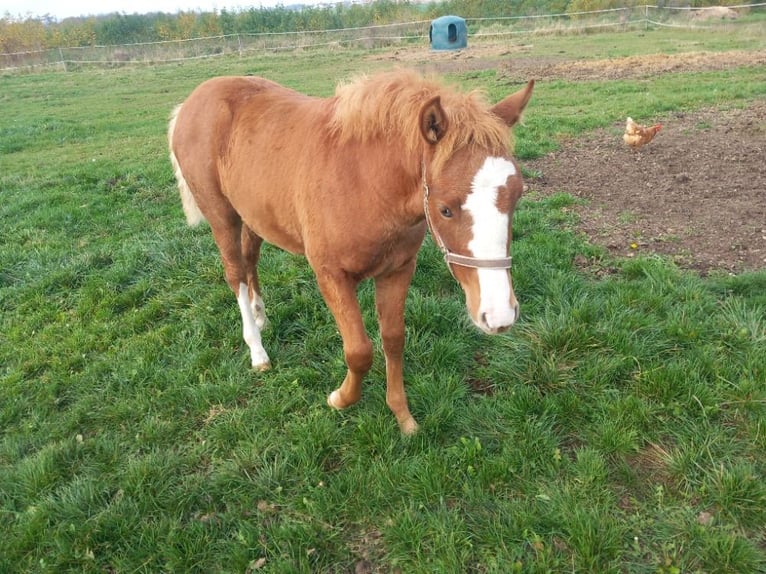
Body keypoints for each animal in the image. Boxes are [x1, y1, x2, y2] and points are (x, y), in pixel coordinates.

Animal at [170, 68, 536, 436]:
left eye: (517, 196)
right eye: (445, 209)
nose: (499, 316)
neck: (365, 183)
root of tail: (191, 101)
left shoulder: (398, 270)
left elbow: (393, 339)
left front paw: (402, 417)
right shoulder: (331, 275)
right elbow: (359, 350)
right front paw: (340, 399)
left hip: (253, 213)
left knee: (250, 258)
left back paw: (261, 315)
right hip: (222, 216)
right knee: (235, 273)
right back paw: (257, 351)